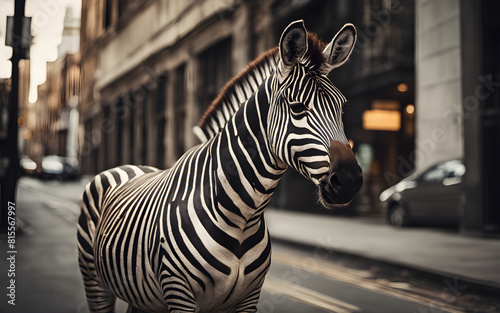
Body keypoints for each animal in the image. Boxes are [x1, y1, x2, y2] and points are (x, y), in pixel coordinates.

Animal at [77, 20, 360, 312]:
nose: (349, 180)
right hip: (94, 279)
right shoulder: (179, 293)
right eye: (297, 108)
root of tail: (126, 166)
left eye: (341, 107)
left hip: (143, 298)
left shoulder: (249, 297)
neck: (244, 216)